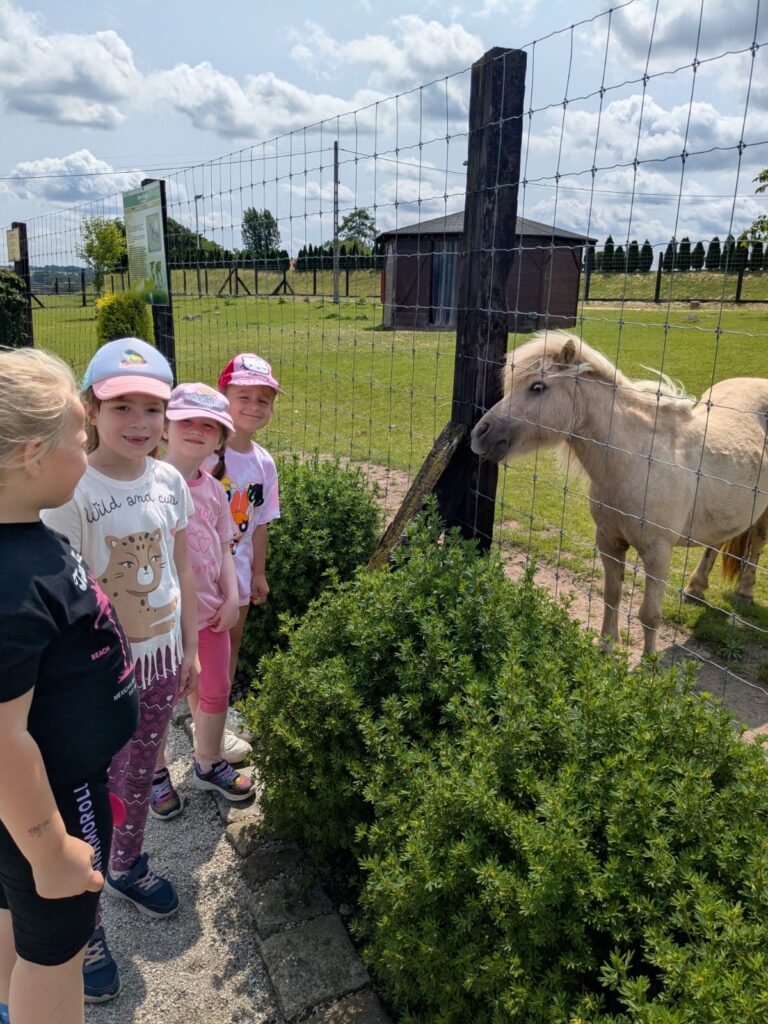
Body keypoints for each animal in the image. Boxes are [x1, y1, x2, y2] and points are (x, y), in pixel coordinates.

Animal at [470, 330, 768, 654]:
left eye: (538, 387)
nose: (479, 434)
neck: (636, 461)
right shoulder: (609, 541)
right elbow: (611, 595)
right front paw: (605, 648)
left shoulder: (657, 552)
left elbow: (650, 615)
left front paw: (649, 665)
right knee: (715, 543)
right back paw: (695, 589)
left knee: (756, 544)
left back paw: (745, 593)